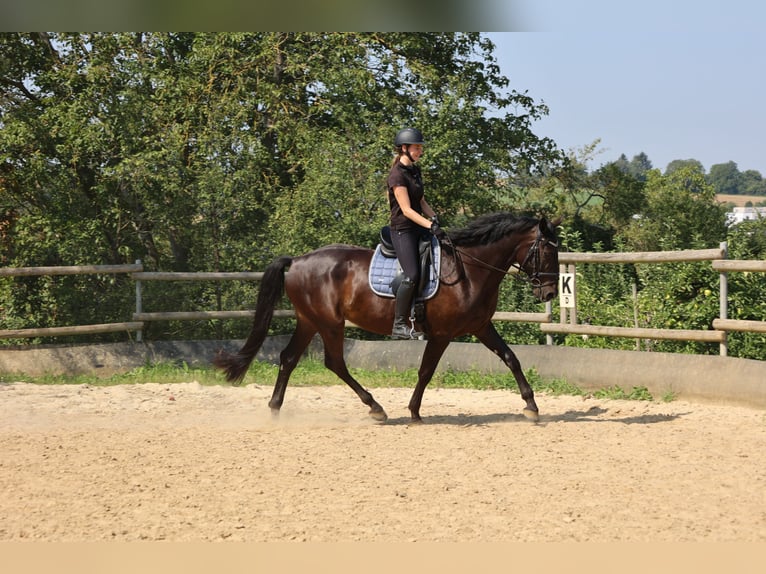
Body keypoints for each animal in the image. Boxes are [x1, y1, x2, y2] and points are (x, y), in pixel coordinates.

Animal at [213, 212, 560, 424]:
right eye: (547, 251)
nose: (549, 294)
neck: (470, 270)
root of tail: (297, 260)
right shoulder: (442, 334)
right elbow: (426, 371)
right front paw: (415, 412)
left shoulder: (481, 327)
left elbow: (511, 358)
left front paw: (531, 406)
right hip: (329, 323)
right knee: (334, 362)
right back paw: (376, 408)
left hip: (310, 321)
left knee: (288, 358)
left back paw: (275, 409)